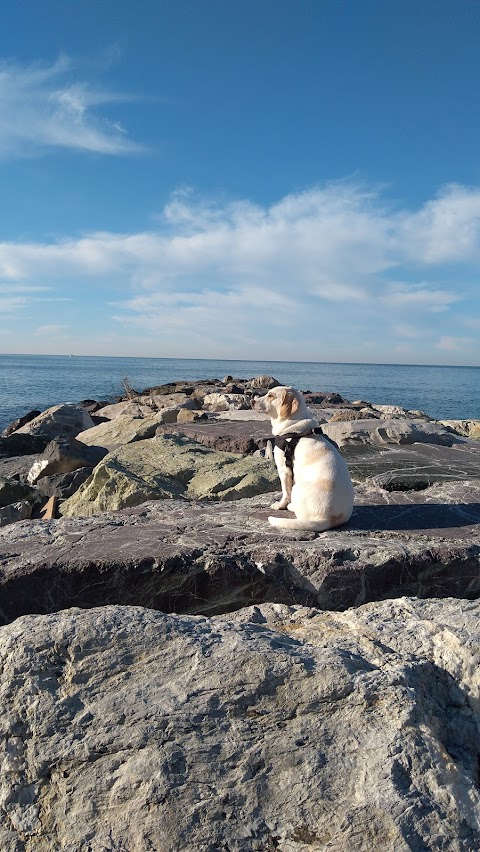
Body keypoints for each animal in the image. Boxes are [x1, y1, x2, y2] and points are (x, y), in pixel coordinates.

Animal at [253, 388, 354, 532]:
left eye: (271, 395)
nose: (252, 400)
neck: (294, 429)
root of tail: (328, 519)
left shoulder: (284, 470)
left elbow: (285, 492)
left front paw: (279, 505)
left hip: (297, 488)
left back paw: (291, 506)